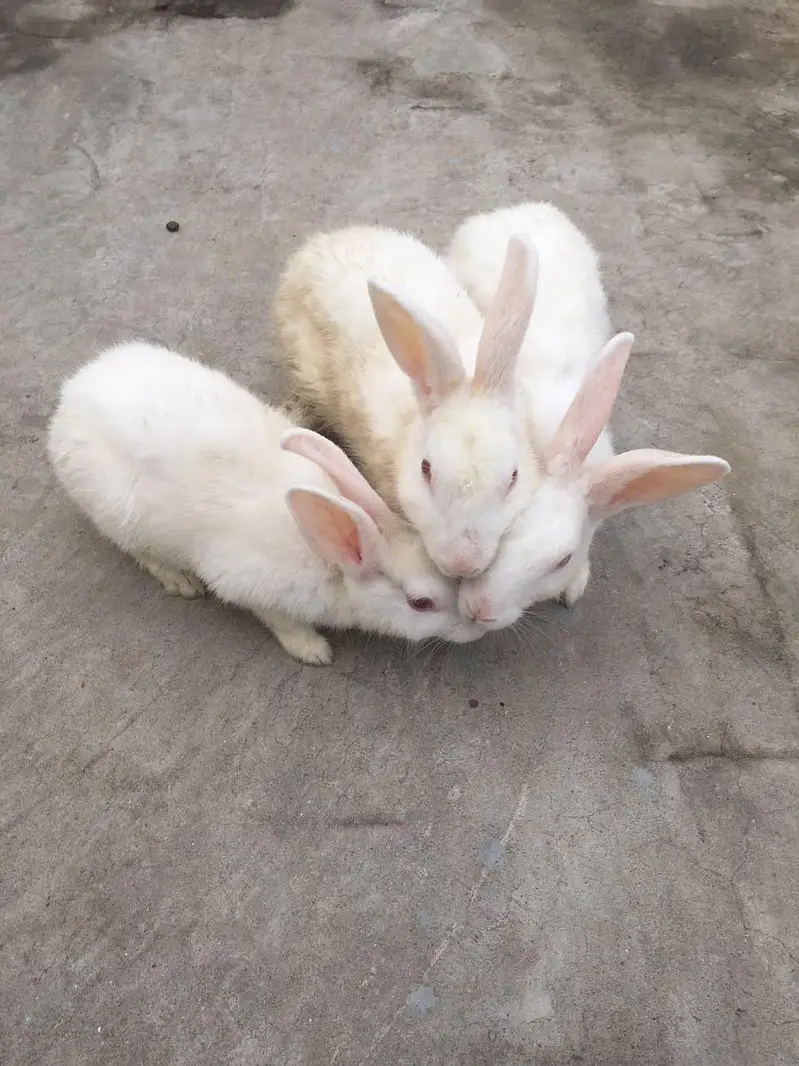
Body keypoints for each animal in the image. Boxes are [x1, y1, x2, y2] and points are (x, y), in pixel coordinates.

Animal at [46, 342, 487, 665]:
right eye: (420, 603)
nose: (477, 628)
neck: (330, 563)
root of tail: (68, 400)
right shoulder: (250, 589)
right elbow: (282, 623)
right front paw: (314, 651)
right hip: (120, 517)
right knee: (140, 552)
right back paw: (181, 582)